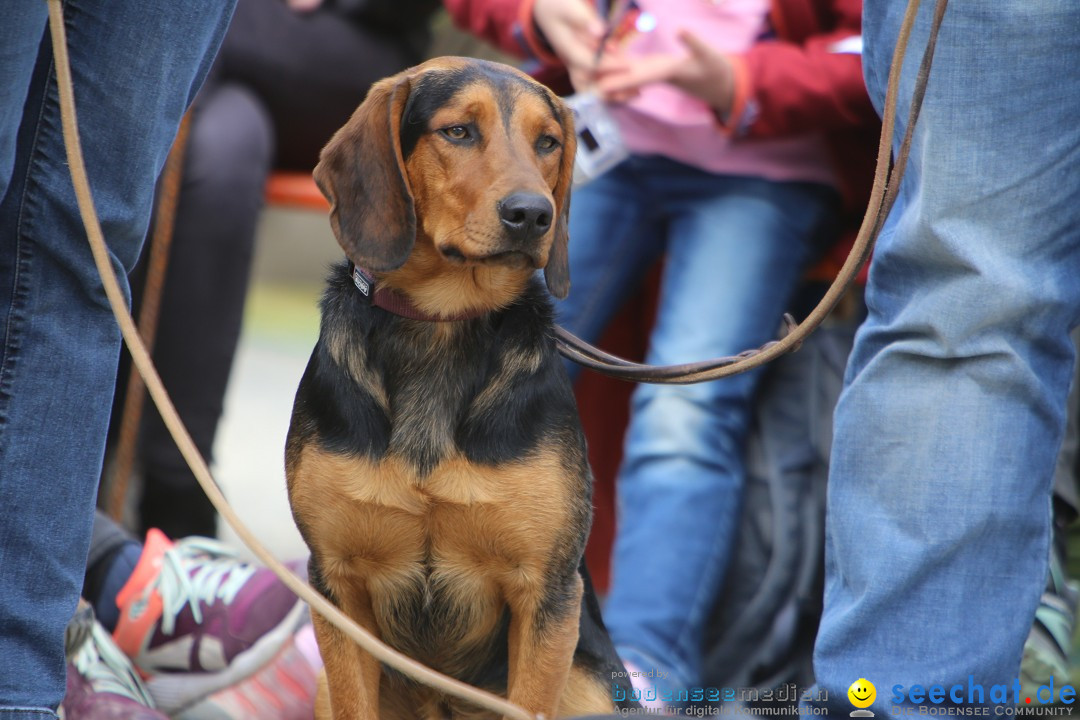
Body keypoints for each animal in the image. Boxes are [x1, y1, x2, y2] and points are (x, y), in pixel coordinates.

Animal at [287, 59, 635, 720]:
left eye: (548, 142)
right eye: (457, 132)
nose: (533, 215)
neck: (443, 321)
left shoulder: (546, 594)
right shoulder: (337, 586)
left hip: (592, 686)